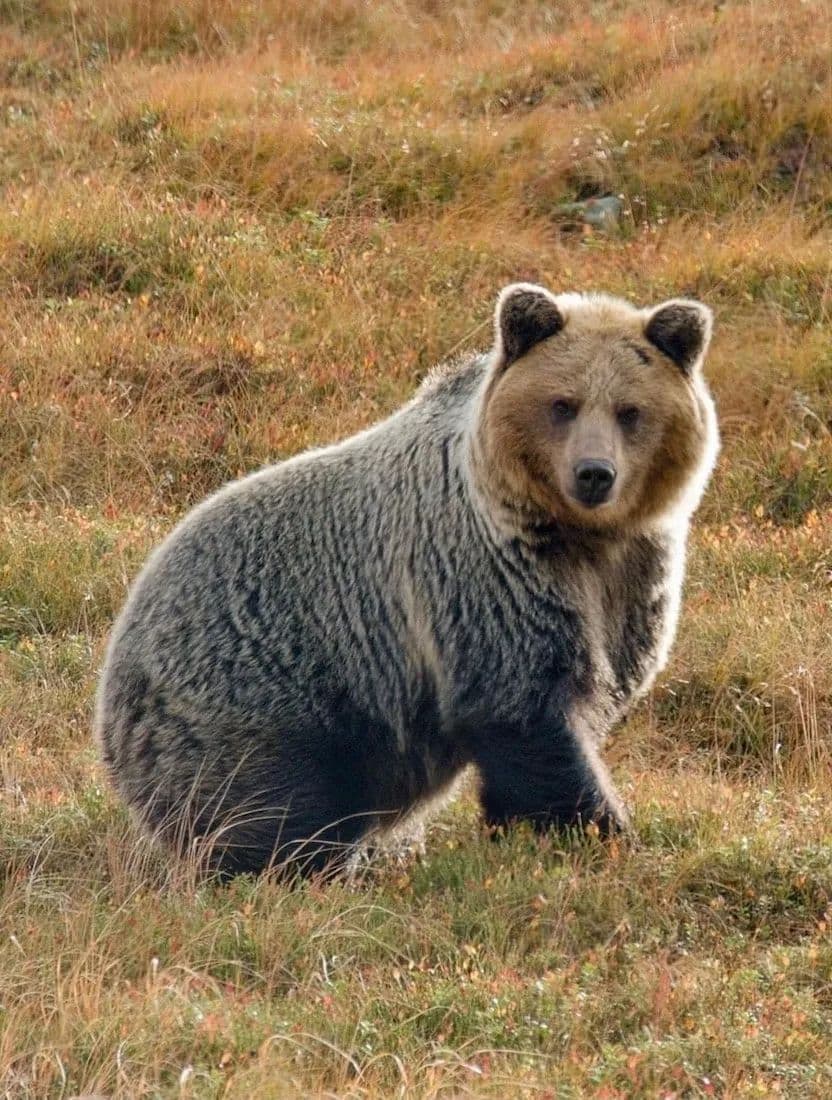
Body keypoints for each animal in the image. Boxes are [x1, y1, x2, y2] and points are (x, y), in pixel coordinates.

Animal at [94, 283, 719, 877]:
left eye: (629, 410)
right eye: (563, 404)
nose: (594, 474)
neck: (576, 538)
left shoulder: (632, 580)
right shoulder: (483, 579)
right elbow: (529, 712)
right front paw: (597, 829)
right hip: (254, 693)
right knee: (272, 804)